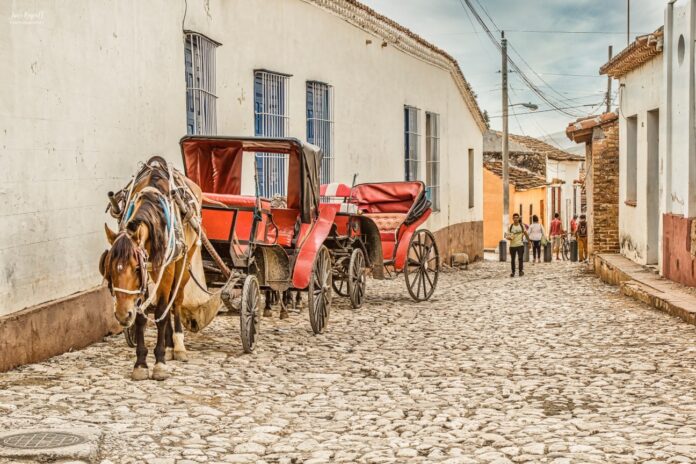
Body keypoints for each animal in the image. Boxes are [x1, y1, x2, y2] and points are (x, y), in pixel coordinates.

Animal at [100, 160, 204, 380]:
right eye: (109, 268)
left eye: (135, 267)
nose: (122, 315)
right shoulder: (143, 282)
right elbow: (141, 317)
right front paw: (140, 363)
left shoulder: (166, 269)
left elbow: (162, 313)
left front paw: (160, 362)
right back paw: (169, 343)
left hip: (184, 260)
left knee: (176, 300)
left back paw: (178, 345)